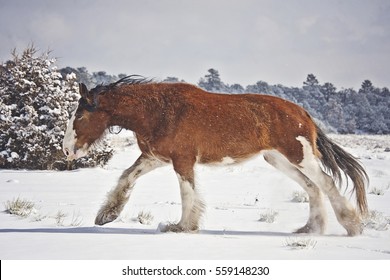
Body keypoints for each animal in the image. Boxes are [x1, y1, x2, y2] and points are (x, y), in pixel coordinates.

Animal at [62, 75, 368, 235]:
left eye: (80, 115)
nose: (67, 150)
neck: (159, 111)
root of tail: (303, 113)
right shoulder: (155, 158)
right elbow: (126, 178)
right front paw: (106, 215)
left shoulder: (182, 160)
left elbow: (187, 193)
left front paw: (182, 226)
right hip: (279, 159)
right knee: (312, 187)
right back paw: (310, 229)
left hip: (300, 156)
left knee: (326, 183)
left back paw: (352, 226)